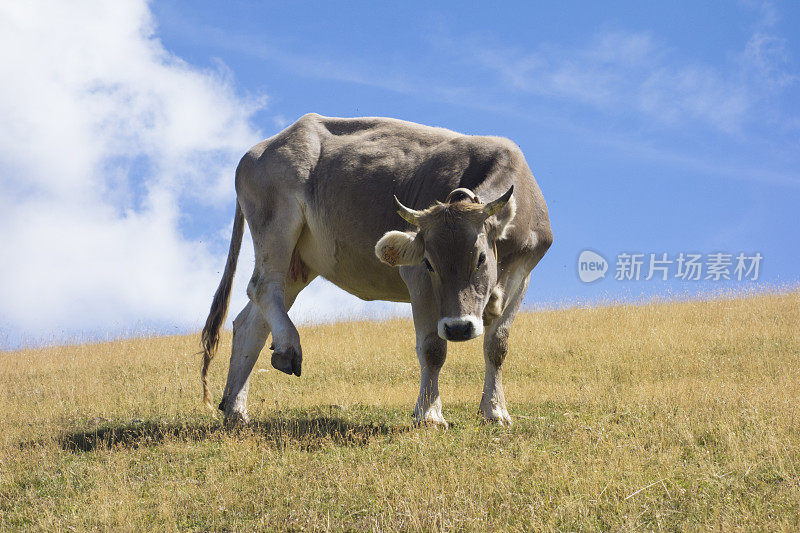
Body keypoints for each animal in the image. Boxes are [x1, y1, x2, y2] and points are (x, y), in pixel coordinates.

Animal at [202, 114, 552, 426]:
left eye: (480, 258)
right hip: (275, 224)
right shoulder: (417, 279)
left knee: (251, 323)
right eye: (429, 262)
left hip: (299, 262)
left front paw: (495, 411)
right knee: (262, 286)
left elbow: (497, 346)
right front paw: (429, 415)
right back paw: (287, 348)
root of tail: (260, 149)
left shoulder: (522, 276)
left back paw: (235, 409)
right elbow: (432, 348)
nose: (458, 328)